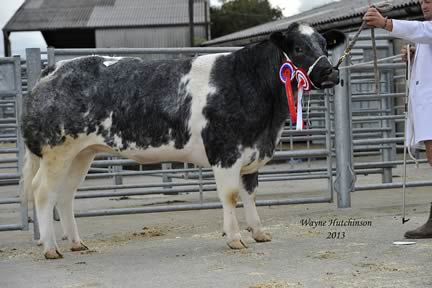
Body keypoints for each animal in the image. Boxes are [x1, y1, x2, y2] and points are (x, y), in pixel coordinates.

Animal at [22, 23, 346, 260]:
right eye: (298, 47)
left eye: (324, 44)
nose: (331, 71)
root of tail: (54, 69)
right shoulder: (225, 152)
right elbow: (231, 196)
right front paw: (235, 238)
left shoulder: (251, 152)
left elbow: (250, 194)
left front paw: (259, 233)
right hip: (57, 151)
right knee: (43, 192)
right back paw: (51, 248)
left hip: (82, 152)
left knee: (66, 194)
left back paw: (77, 243)